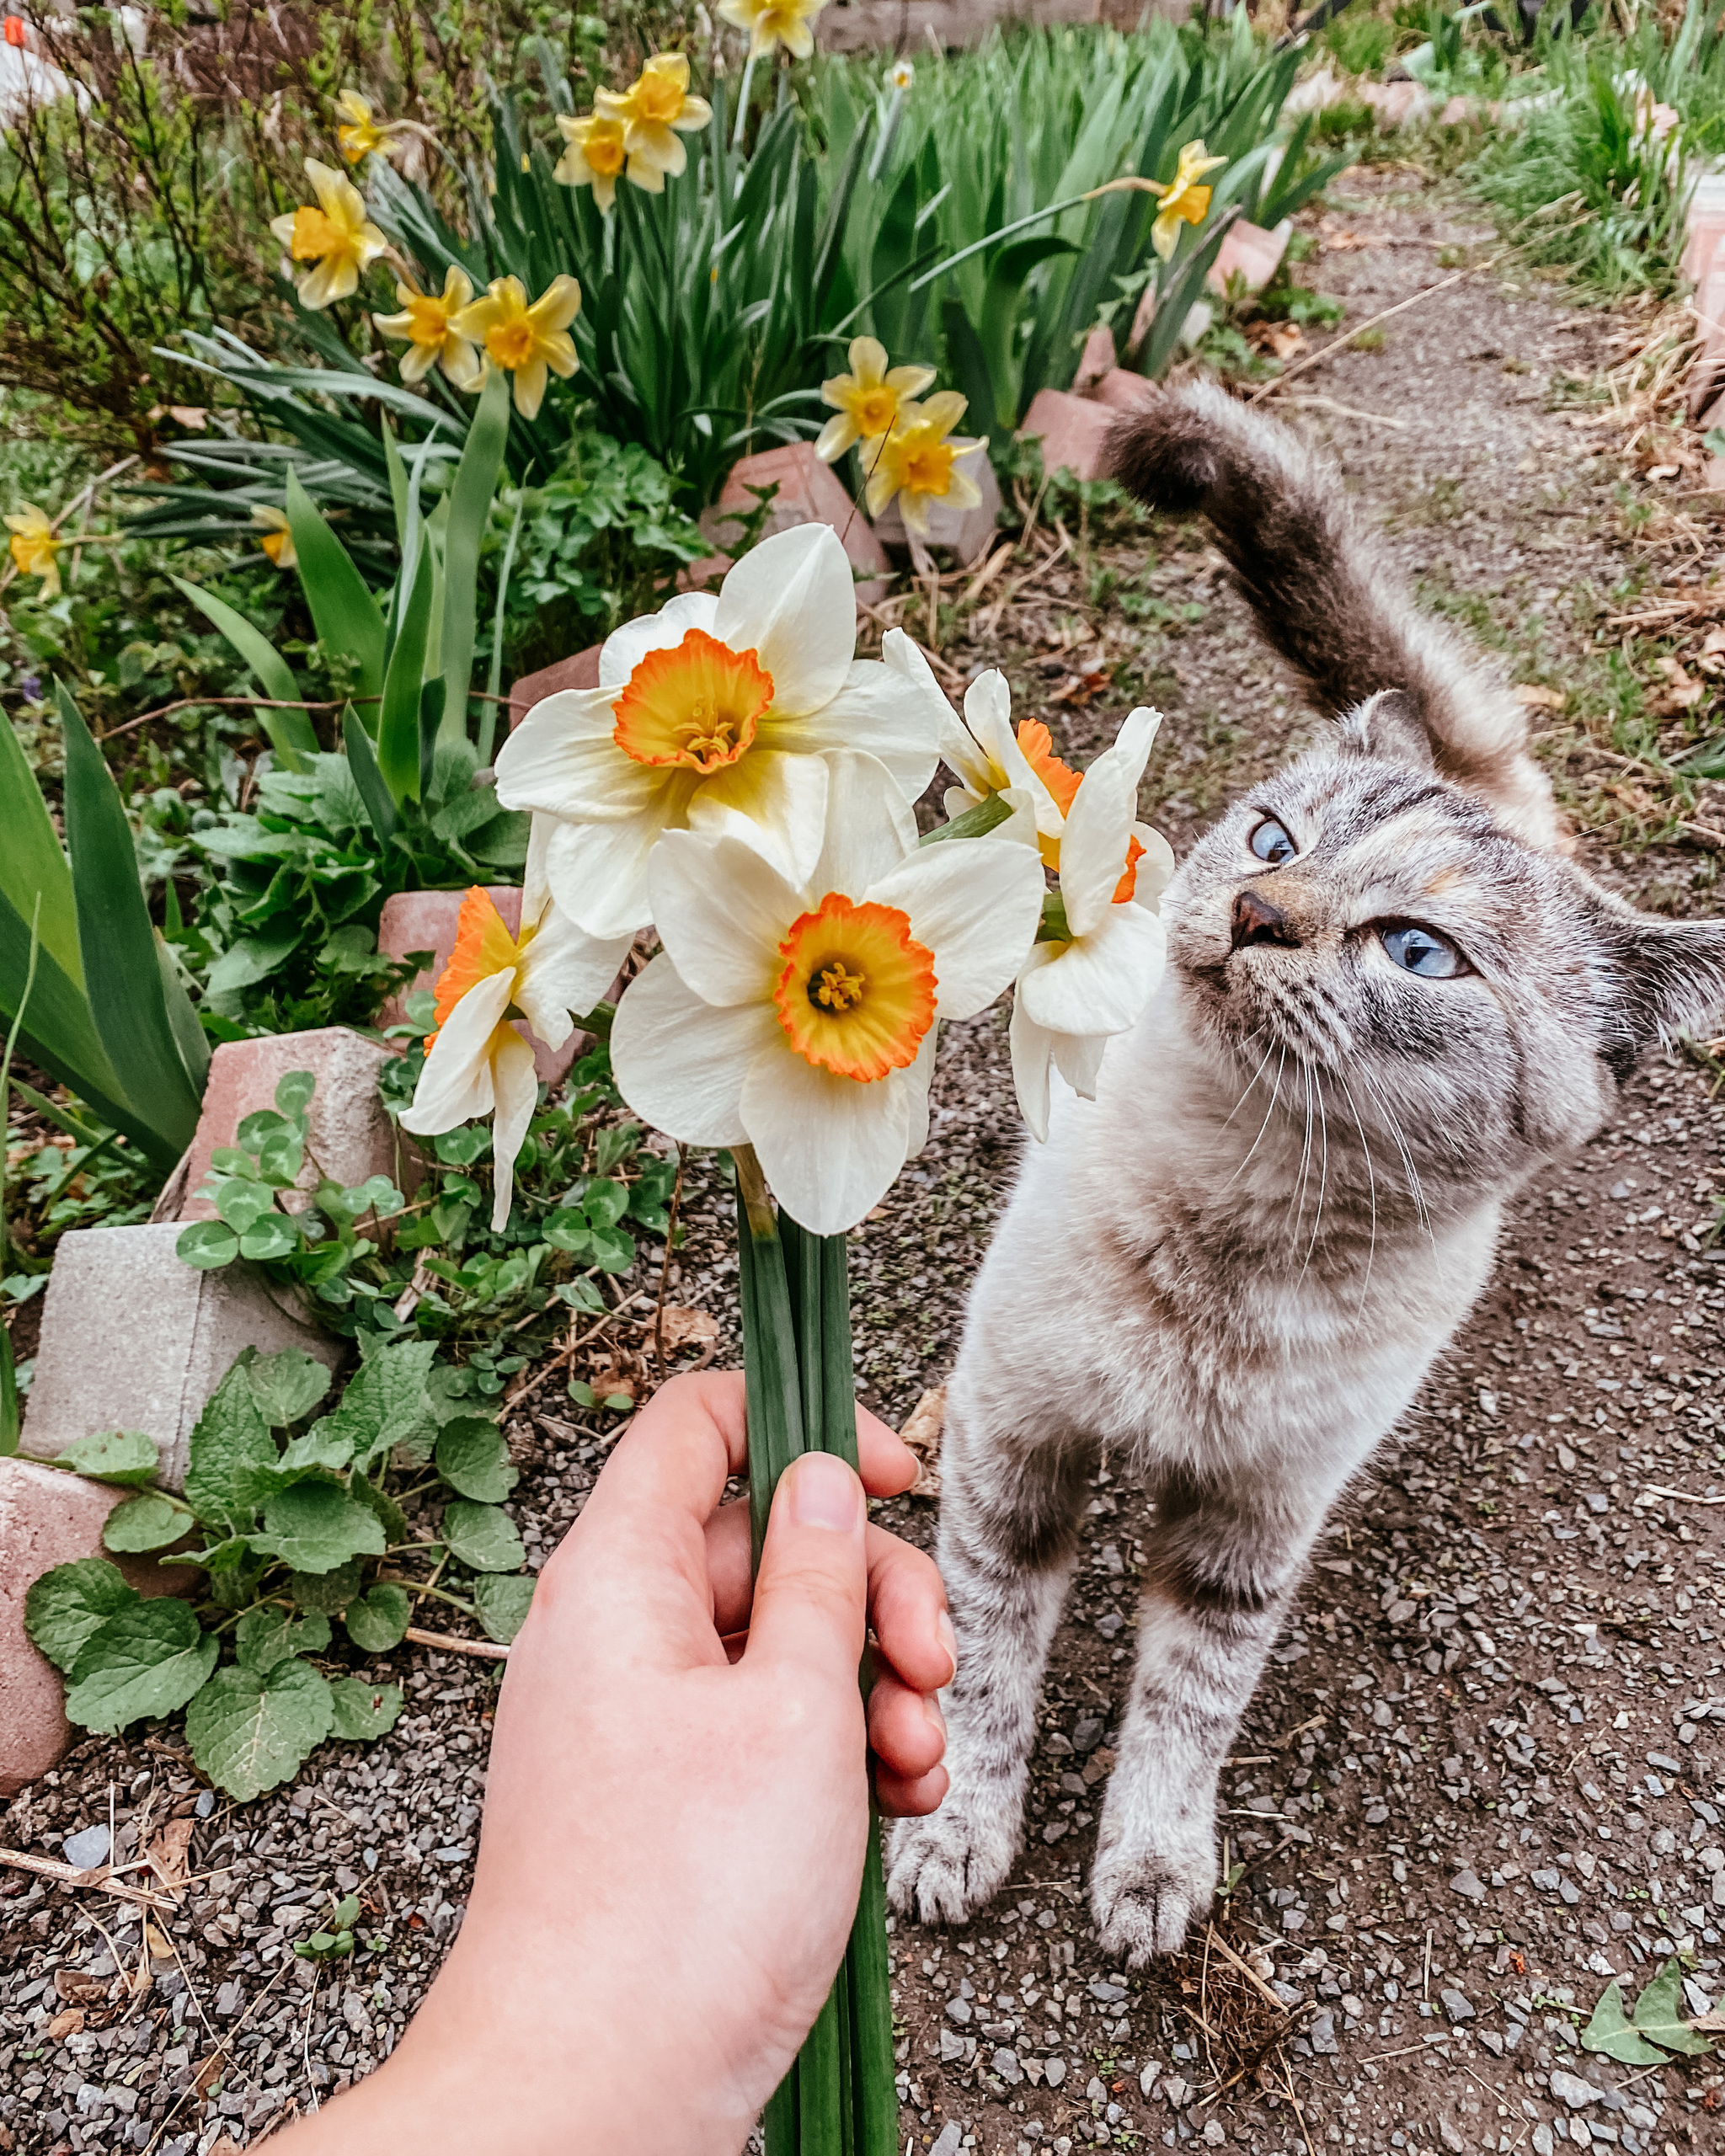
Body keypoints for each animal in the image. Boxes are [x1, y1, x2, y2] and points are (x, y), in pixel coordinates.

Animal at [884, 379, 1725, 1966]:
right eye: (1273, 837)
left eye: (1418, 953)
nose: (1257, 911)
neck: (1235, 1230)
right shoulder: (1015, 1452)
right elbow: (982, 1673)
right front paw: (958, 1839)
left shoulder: (1252, 1523)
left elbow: (1184, 1712)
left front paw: (1148, 1876)